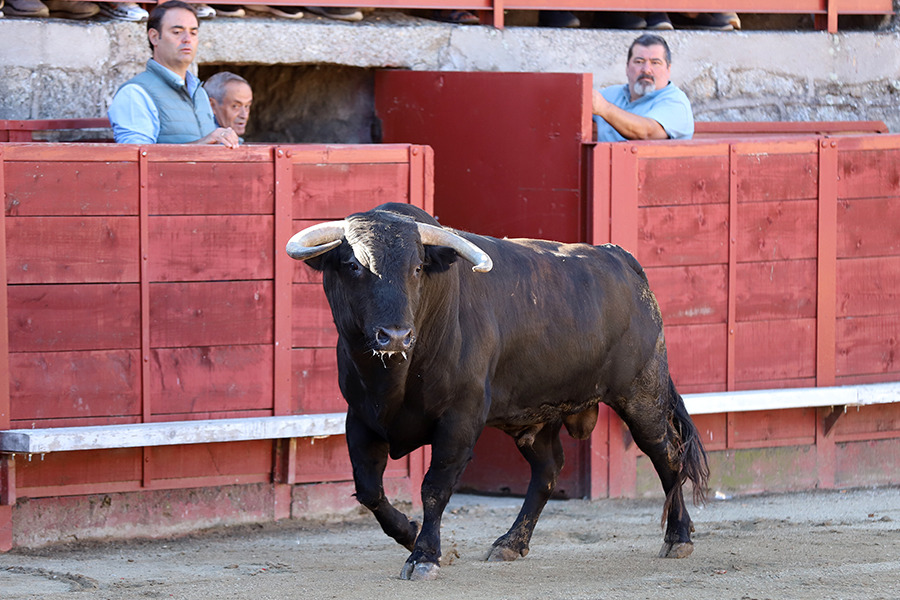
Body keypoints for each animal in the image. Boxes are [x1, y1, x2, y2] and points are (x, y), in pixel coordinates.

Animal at [286, 203, 709, 581]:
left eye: (417, 268)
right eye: (354, 265)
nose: (396, 336)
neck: (393, 377)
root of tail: (621, 258)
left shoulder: (460, 417)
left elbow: (435, 487)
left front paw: (425, 557)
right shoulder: (360, 418)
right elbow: (369, 490)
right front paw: (412, 536)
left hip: (642, 396)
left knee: (668, 456)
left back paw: (678, 537)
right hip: (536, 415)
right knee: (548, 468)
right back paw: (510, 543)